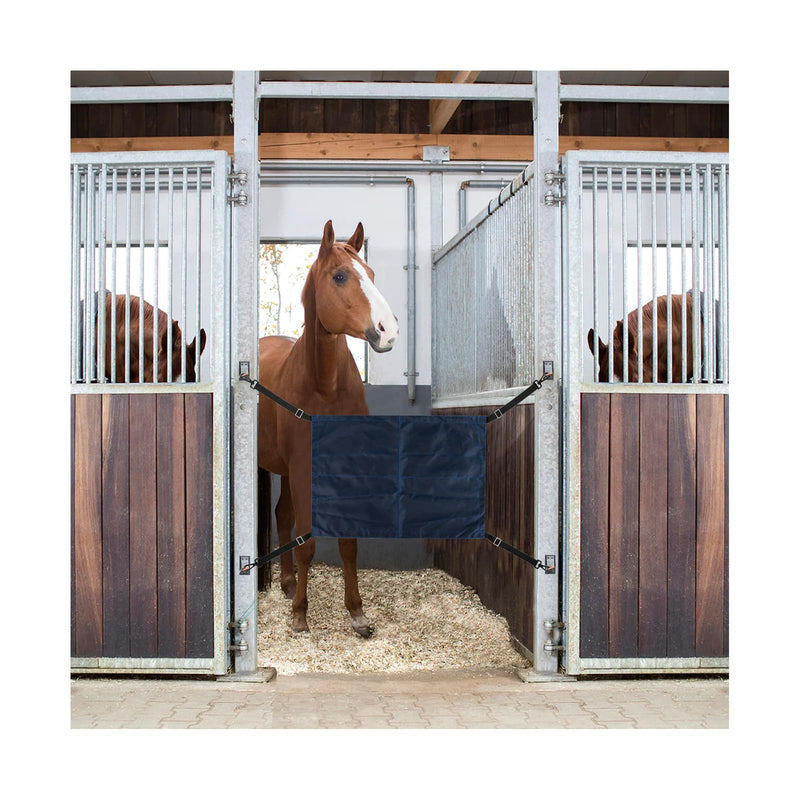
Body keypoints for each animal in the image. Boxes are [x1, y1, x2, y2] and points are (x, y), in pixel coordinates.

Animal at [257, 220, 399, 638]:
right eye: (339, 276)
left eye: (371, 274)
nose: (388, 330)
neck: (325, 386)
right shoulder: (304, 467)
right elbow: (307, 542)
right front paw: (300, 615)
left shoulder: (346, 467)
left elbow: (349, 542)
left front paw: (357, 613)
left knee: (283, 515)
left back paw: (288, 582)